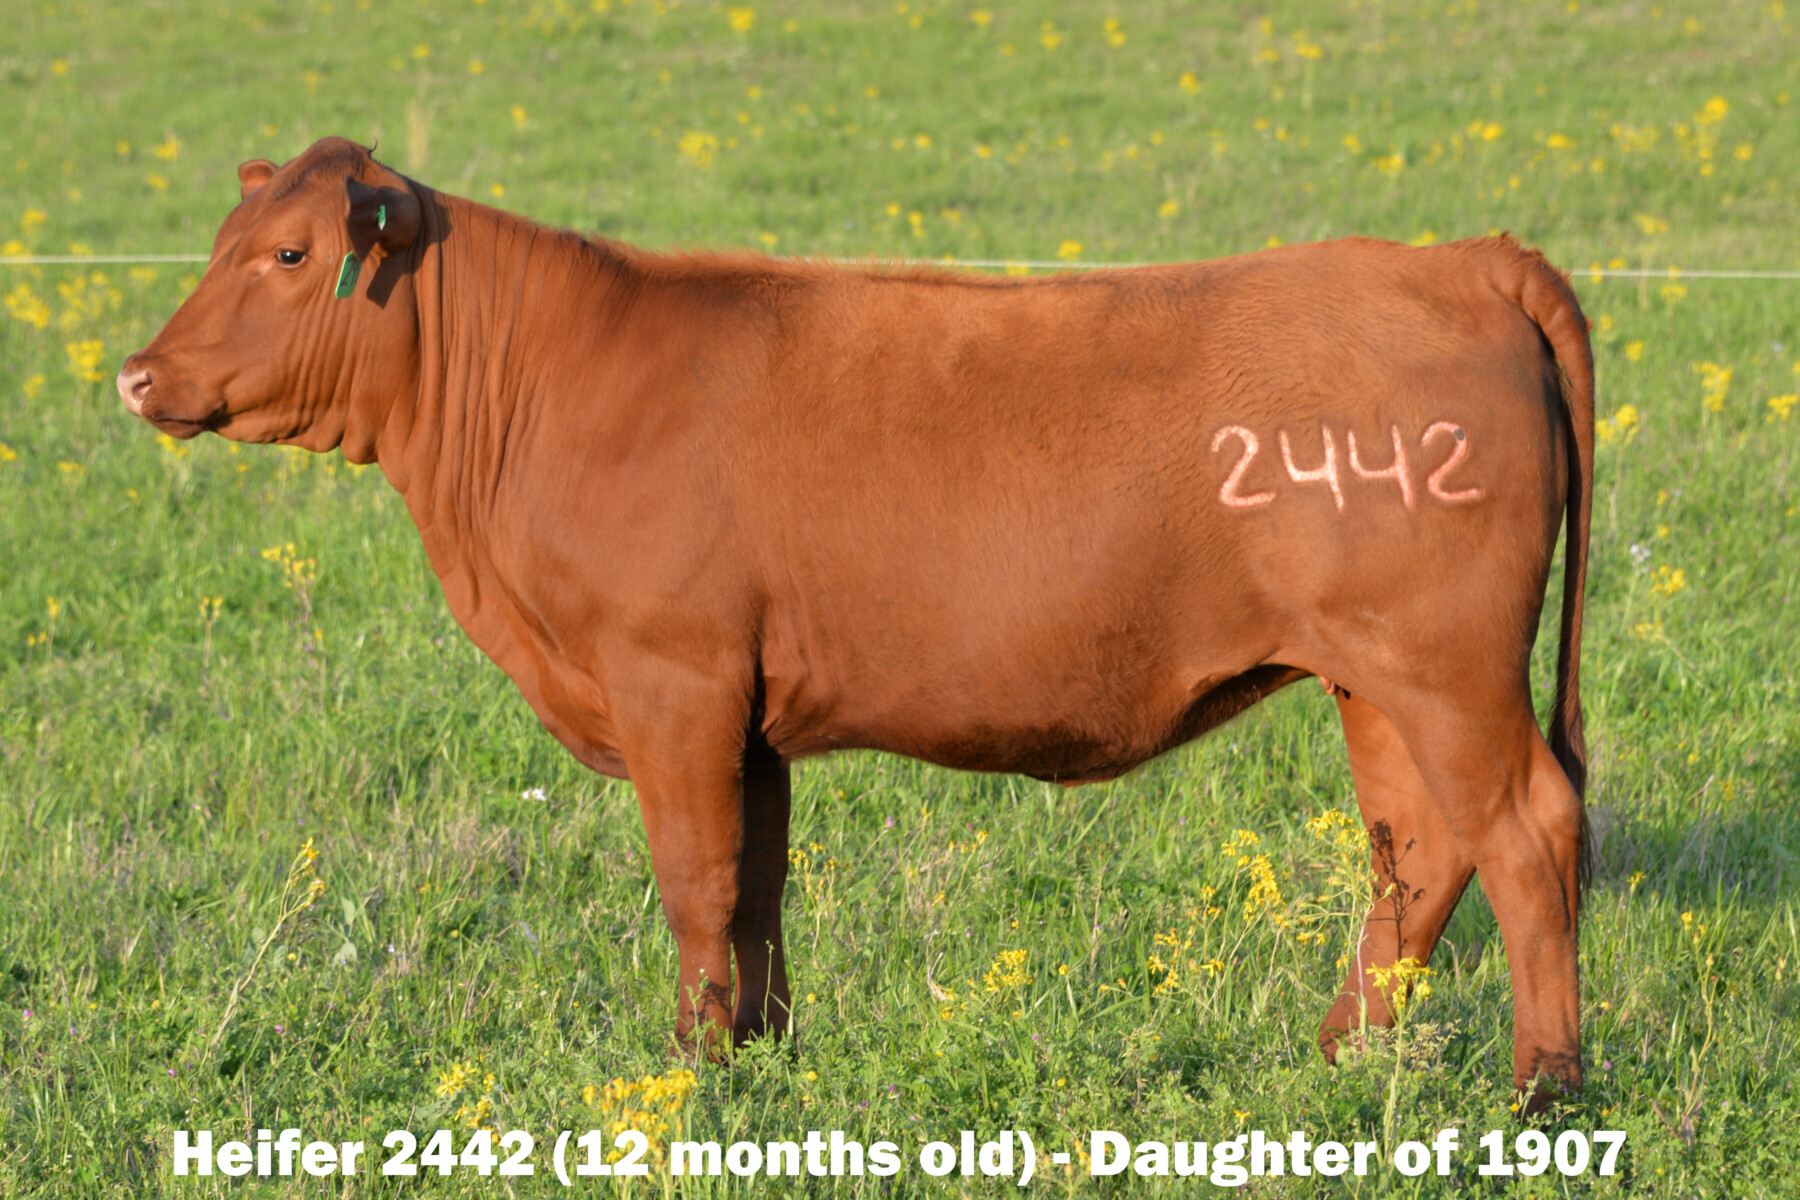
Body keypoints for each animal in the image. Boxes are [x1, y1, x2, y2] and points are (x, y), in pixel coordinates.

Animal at [119, 138, 1594, 1103]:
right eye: (222, 247)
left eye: (290, 254)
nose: (138, 374)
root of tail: (1463, 261)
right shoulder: (748, 716)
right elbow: (757, 884)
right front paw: (763, 1055)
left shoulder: (674, 681)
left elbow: (696, 880)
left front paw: (692, 1073)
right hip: (1376, 676)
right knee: (1419, 850)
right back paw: (1348, 1058)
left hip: (1445, 668)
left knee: (1526, 831)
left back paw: (1547, 1083)